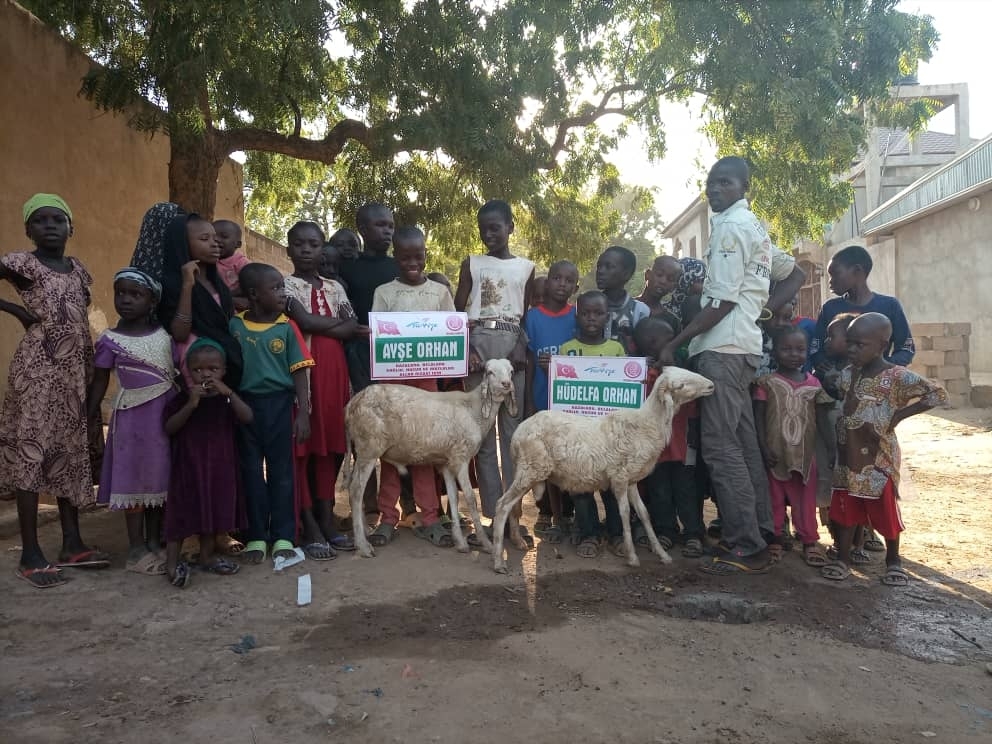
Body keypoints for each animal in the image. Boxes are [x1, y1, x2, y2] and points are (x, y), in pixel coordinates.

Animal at [344, 358, 517, 557]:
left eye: (511, 371)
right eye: (490, 372)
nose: (506, 384)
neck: (474, 410)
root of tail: (351, 405)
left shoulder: (448, 463)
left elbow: (454, 498)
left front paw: (460, 542)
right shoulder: (461, 458)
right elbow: (471, 500)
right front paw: (486, 544)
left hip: (361, 450)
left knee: (352, 489)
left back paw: (364, 532)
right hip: (369, 448)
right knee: (356, 491)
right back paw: (363, 546)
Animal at [491, 365, 714, 573]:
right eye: (681, 385)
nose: (711, 385)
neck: (647, 424)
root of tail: (518, 433)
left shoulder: (632, 480)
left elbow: (643, 514)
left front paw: (662, 554)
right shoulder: (620, 477)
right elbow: (625, 512)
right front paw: (632, 556)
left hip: (529, 470)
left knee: (512, 506)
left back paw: (516, 543)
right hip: (531, 469)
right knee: (502, 505)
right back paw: (498, 561)